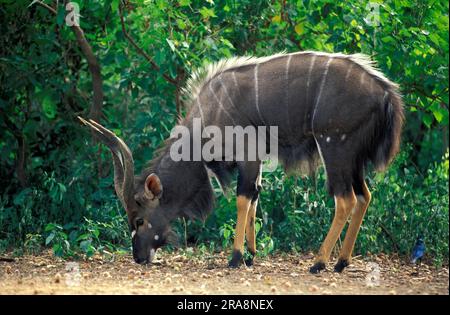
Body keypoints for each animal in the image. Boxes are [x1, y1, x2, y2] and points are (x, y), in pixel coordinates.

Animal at [78, 50, 404, 272]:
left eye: (139, 219)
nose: (138, 257)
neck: (207, 115)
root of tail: (385, 92)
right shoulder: (254, 161)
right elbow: (255, 198)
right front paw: (251, 254)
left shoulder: (247, 154)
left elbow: (242, 198)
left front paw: (235, 257)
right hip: (353, 157)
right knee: (365, 195)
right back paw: (342, 262)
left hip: (334, 146)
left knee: (345, 199)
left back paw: (319, 262)